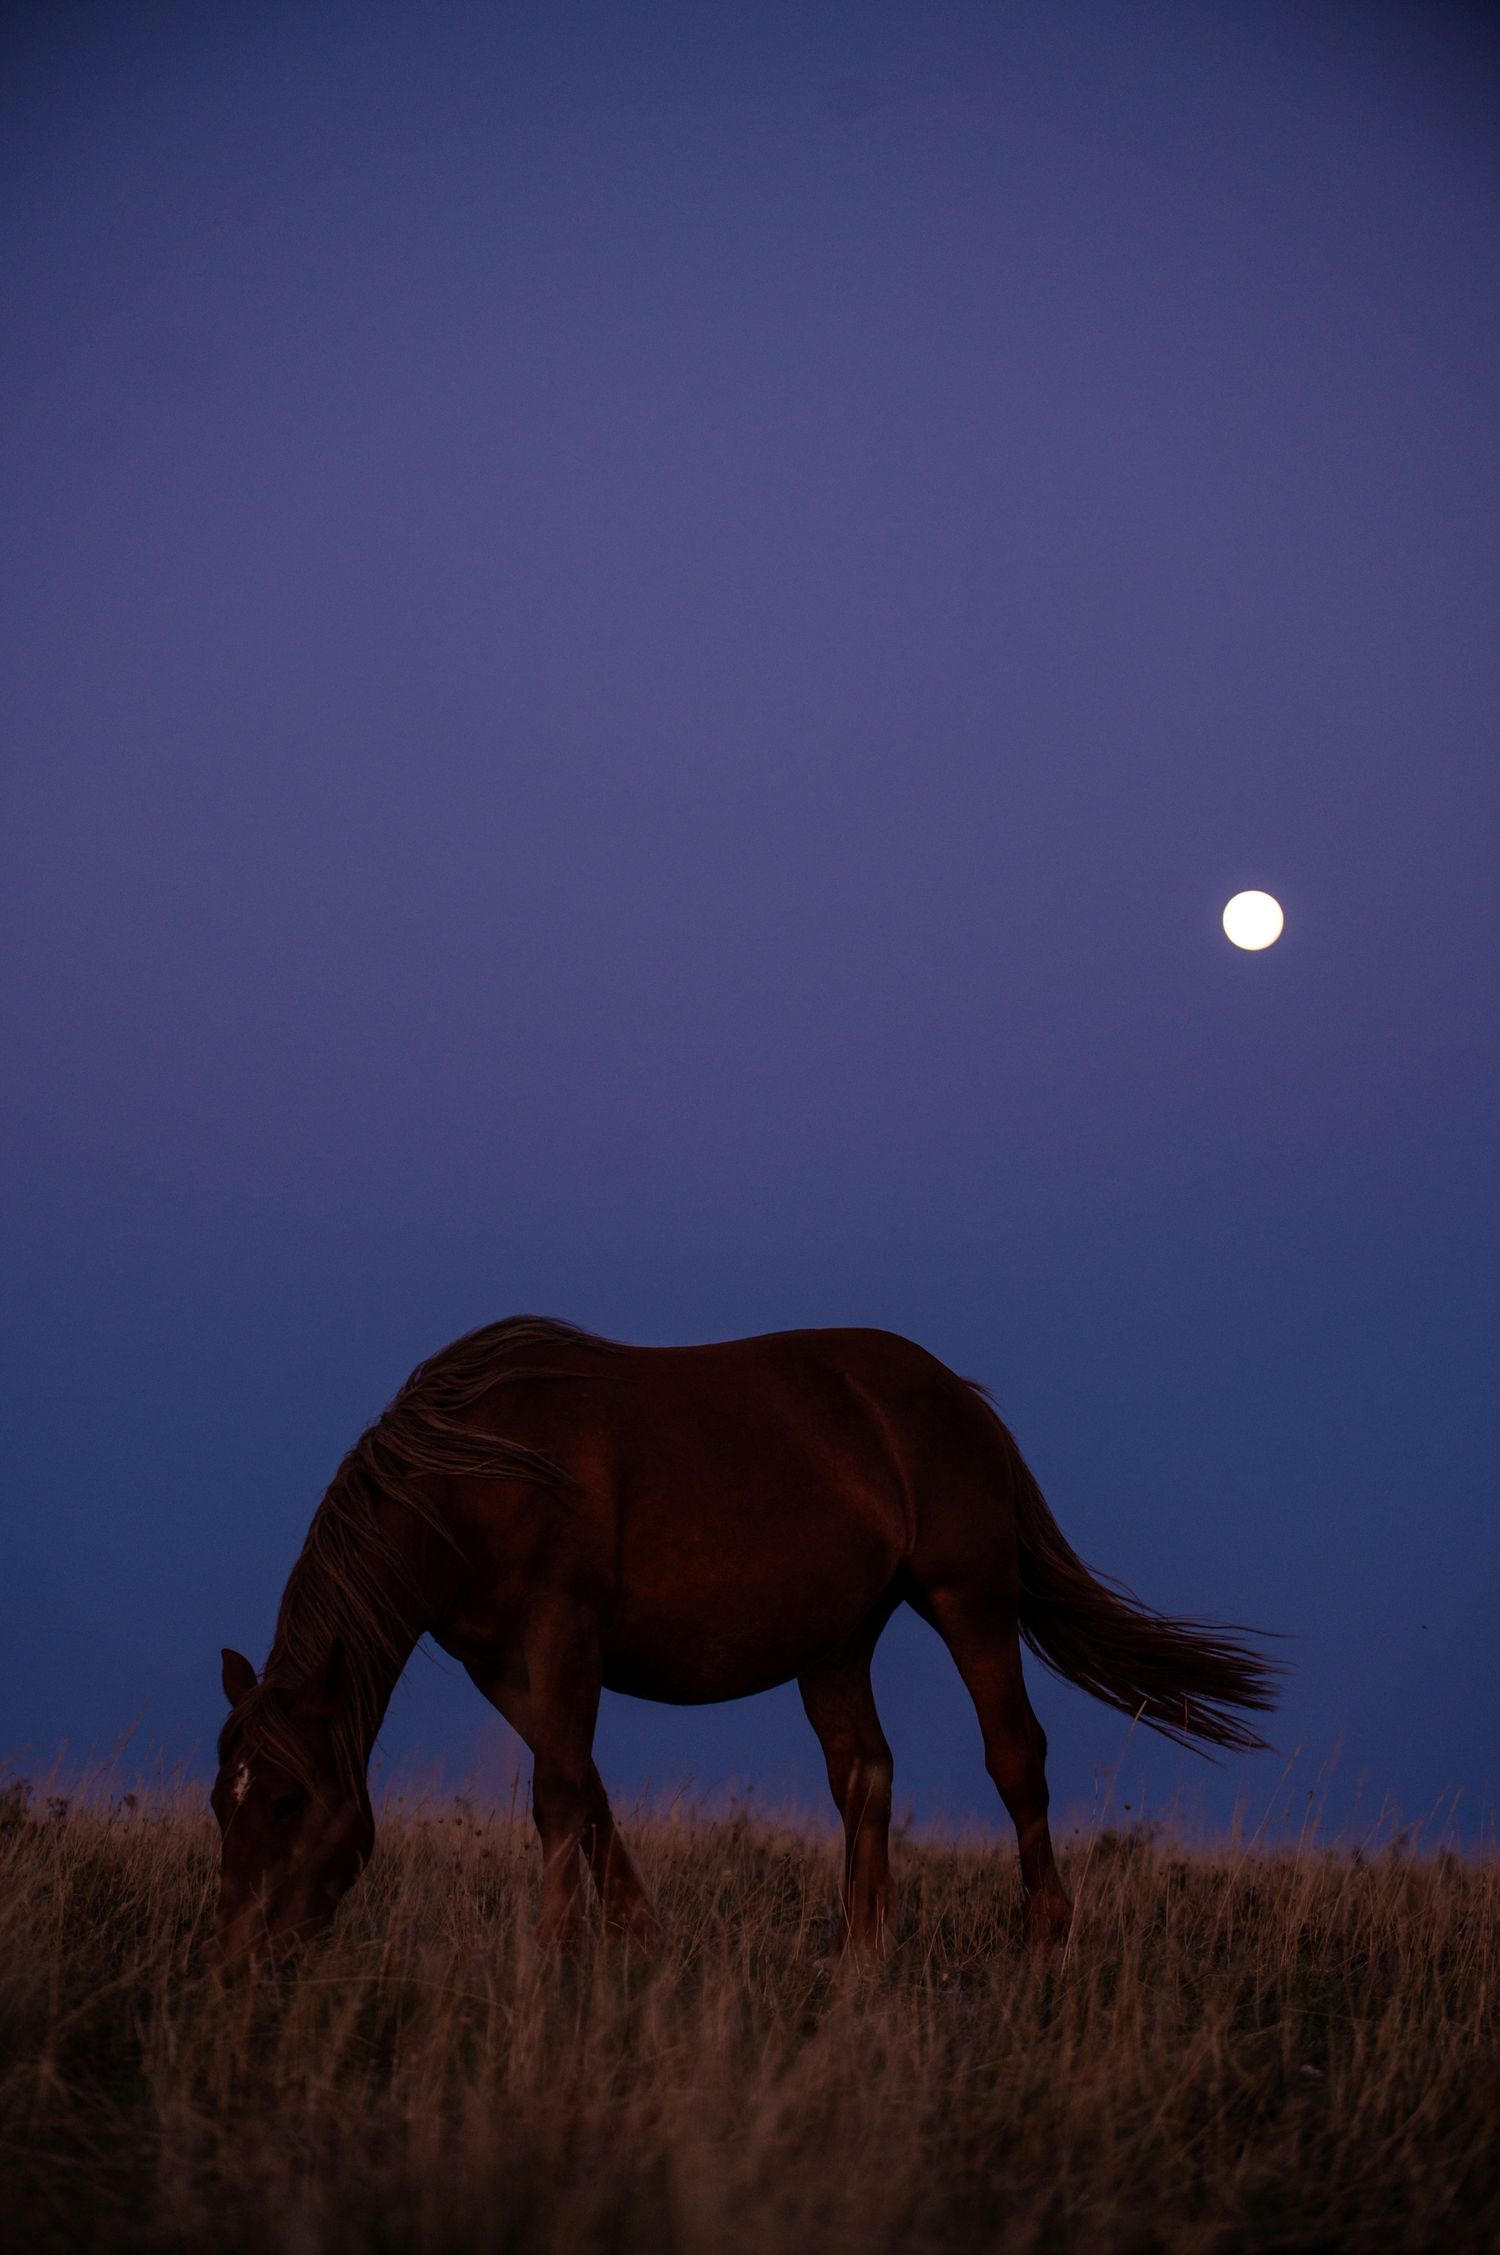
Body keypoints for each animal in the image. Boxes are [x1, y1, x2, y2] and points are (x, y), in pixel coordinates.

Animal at [212, 1315, 1277, 1964]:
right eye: (224, 1803)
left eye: (290, 1800)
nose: (242, 1956)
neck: (474, 1471)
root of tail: (960, 1398)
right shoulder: (500, 1667)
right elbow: (586, 1788)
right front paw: (637, 1934)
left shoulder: (564, 1631)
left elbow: (559, 1792)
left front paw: (557, 1951)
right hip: (835, 1643)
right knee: (866, 1773)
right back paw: (859, 1952)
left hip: (969, 1600)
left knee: (1014, 1757)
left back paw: (1045, 1937)